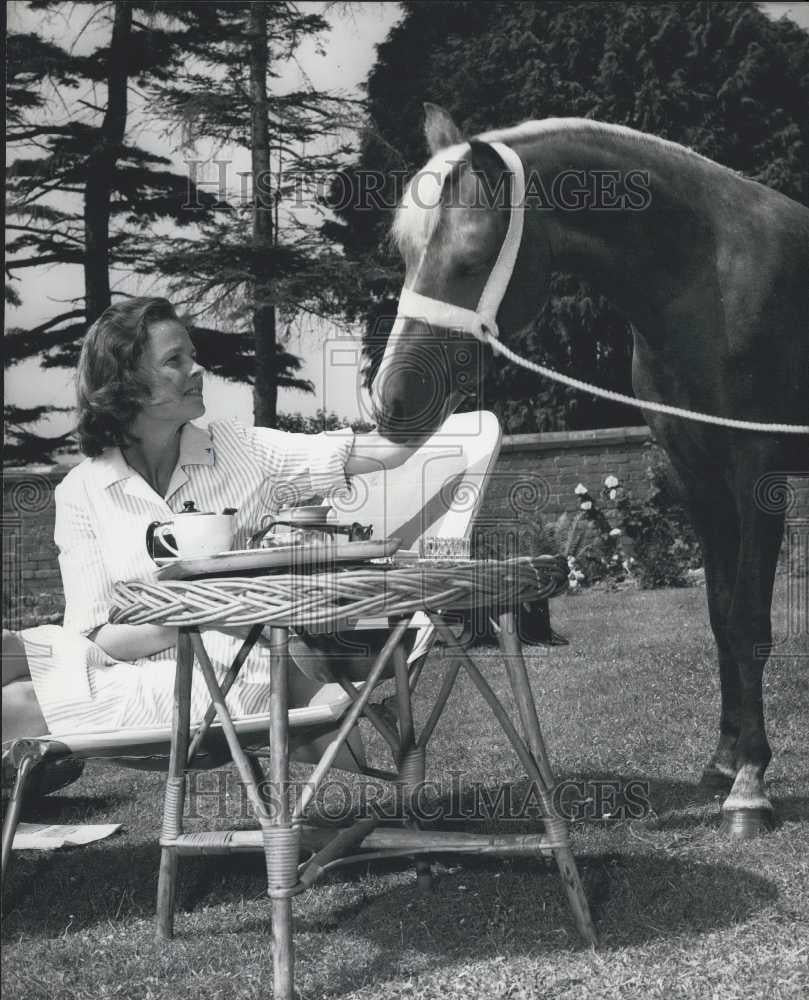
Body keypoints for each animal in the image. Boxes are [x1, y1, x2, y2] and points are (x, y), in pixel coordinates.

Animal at [372, 103, 808, 836]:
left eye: (468, 261)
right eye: (405, 254)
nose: (391, 402)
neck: (710, 279)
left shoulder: (756, 475)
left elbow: (749, 621)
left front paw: (749, 787)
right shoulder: (698, 478)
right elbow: (720, 618)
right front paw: (723, 763)